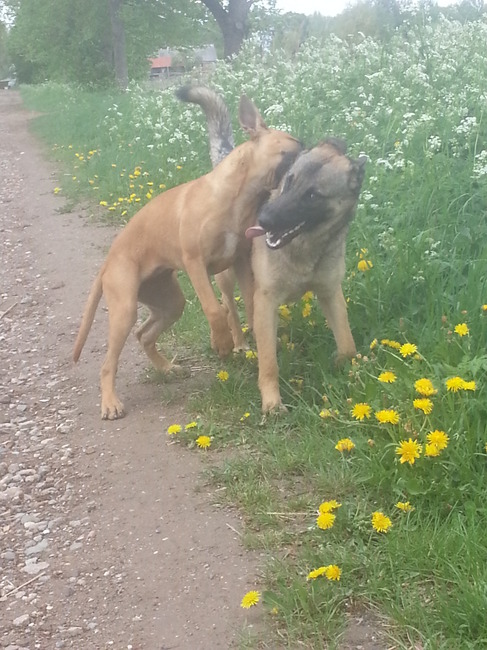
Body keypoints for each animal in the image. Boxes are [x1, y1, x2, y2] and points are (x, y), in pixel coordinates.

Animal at [73, 86, 302, 419]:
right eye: (294, 144)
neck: (237, 198)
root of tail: (107, 262)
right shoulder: (196, 264)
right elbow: (214, 310)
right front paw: (222, 344)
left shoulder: (240, 263)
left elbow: (248, 305)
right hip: (125, 308)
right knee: (108, 363)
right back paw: (110, 402)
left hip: (169, 302)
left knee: (144, 335)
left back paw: (167, 369)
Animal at [183, 91, 366, 413]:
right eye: (288, 180)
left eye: (313, 195)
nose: (263, 220)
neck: (305, 247)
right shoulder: (266, 299)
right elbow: (269, 363)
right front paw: (271, 401)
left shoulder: (330, 292)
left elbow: (347, 342)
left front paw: (346, 367)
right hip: (226, 276)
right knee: (228, 306)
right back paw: (238, 342)